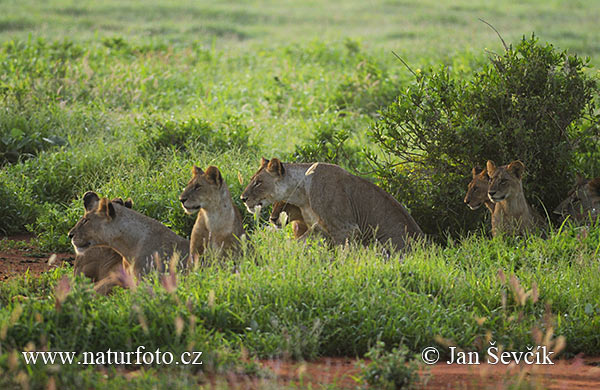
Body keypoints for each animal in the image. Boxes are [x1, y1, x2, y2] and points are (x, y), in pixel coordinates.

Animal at [239, 158, 422, 251]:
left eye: (258, 182)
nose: (243, 198)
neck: (302, 191)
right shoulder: (319, 229)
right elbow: (298, 244)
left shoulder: (346, 229)